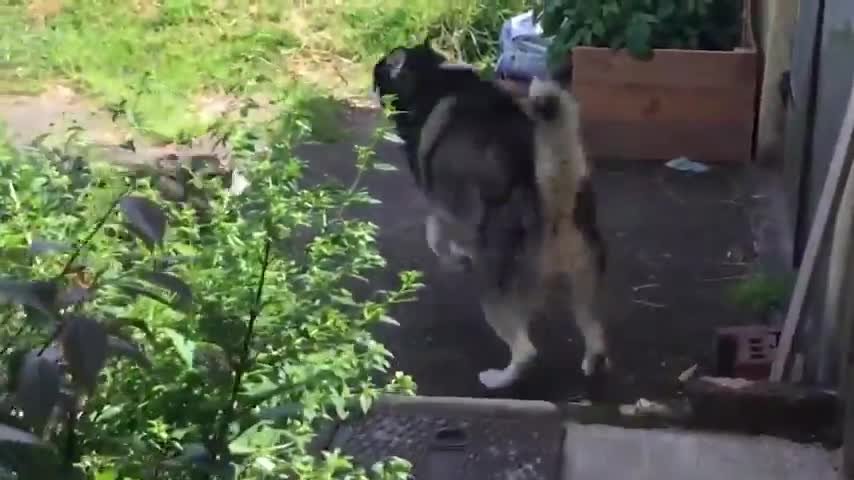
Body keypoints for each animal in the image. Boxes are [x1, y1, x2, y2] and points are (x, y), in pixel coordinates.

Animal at [374, 39, 608, 388]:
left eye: (379, 72)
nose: (372, 82)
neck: (433, 76)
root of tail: (553, 198)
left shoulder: (442, 201)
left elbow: (434, 233)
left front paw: (455, 257)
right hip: (584, 283)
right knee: (594, 331)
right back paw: (593, 363)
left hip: (497, 293)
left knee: (525, 351)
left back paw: (497, 379)